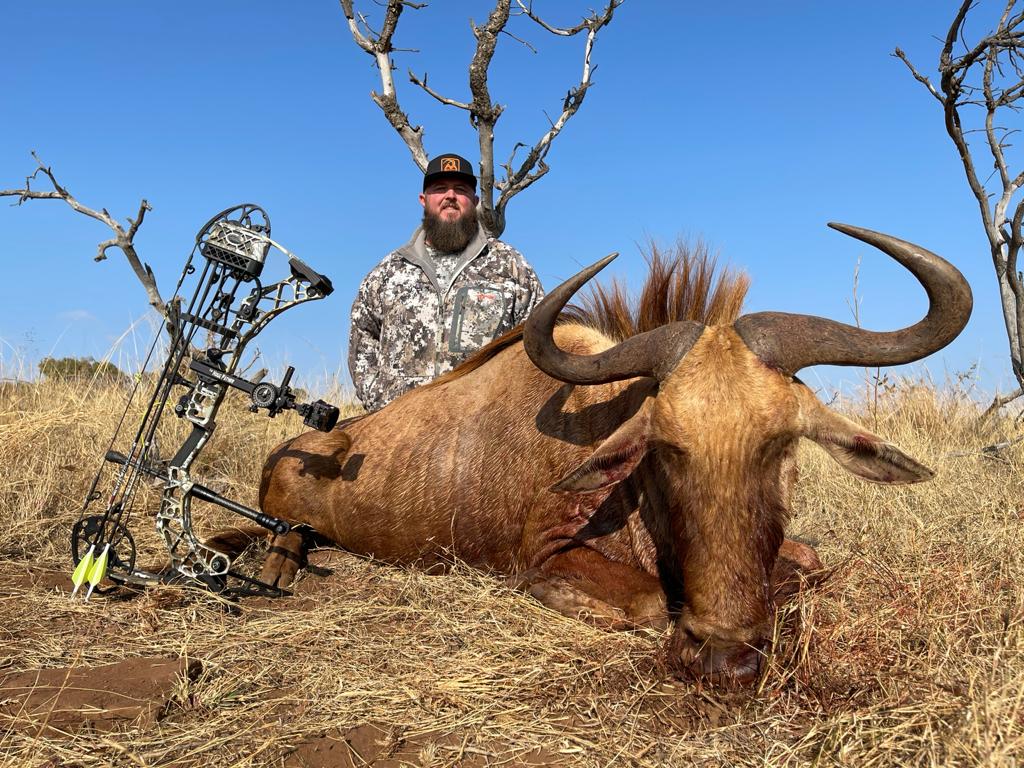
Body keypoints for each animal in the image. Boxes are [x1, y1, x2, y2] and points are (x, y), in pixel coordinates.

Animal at [253, 223, 971, 683]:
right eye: (668, 449)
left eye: (781, 446)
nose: (725, 658)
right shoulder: (546, 558)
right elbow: (653, 602)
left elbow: (811, 563)